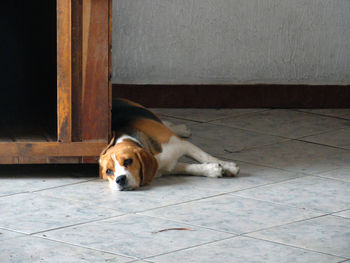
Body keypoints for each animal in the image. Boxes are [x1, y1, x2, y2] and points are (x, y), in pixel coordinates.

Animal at [99, 98, 241, 190]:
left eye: (128, 161)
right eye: (108, 171)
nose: (120, 179)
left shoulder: (183, 145)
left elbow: (205, 156)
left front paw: (228, 166)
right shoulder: (167, 168)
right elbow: (188, 168)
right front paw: (212, 169)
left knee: (167, 124)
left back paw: (180, 128)